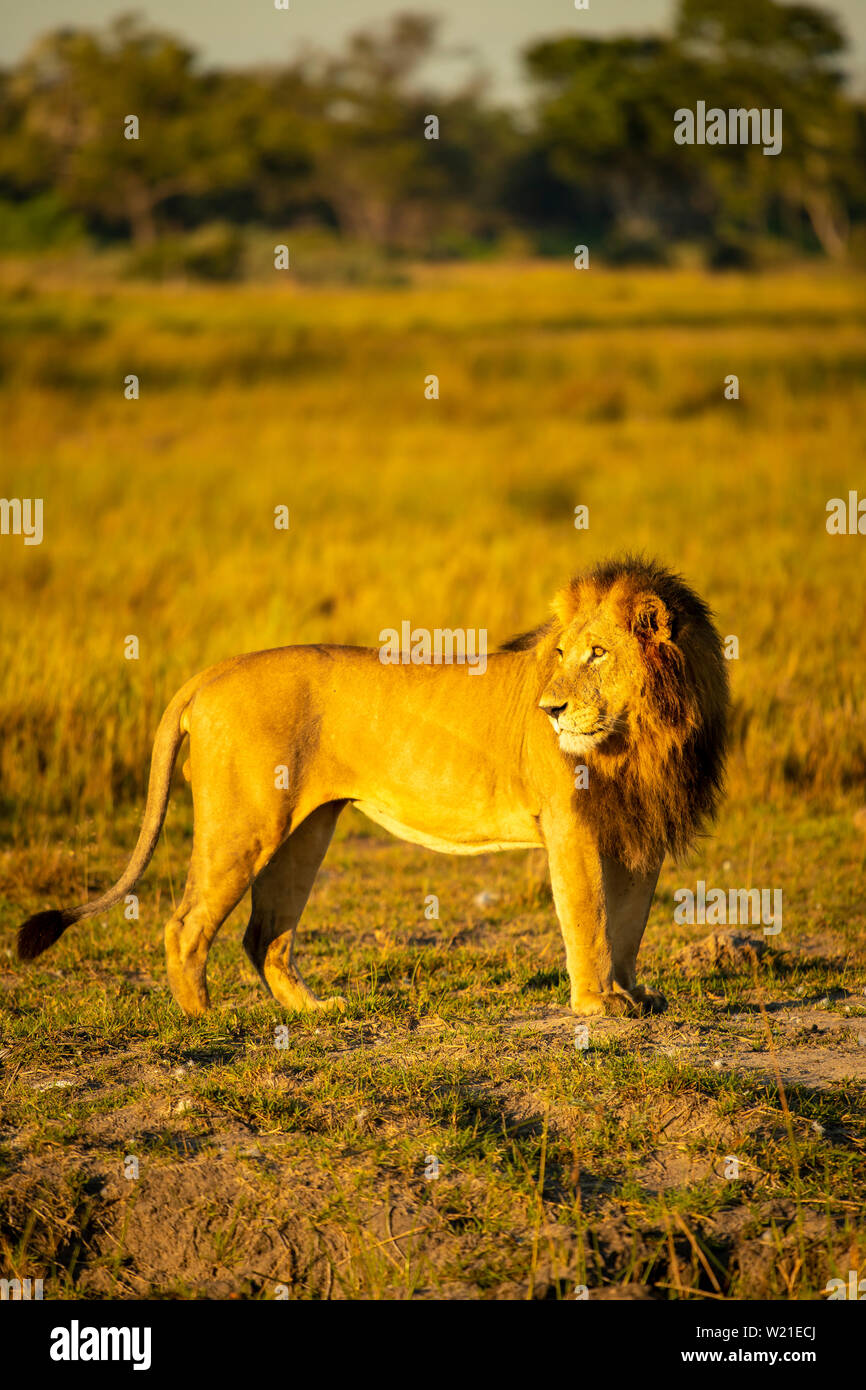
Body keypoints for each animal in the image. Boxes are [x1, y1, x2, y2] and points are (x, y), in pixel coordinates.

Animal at [16, 553, 728, 1023]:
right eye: (562, 653)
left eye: (598, 653)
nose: (550, 711)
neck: (647, 733)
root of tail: (212, 671)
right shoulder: (571, 824)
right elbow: (589, 918)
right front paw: (596, 1006)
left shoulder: (642, 831)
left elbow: (629, 923)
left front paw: (634, 995)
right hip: (245, 823)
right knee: (186, 924)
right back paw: (205, 1020)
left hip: (305, 830)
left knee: (265, 935)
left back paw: (313, 1012)